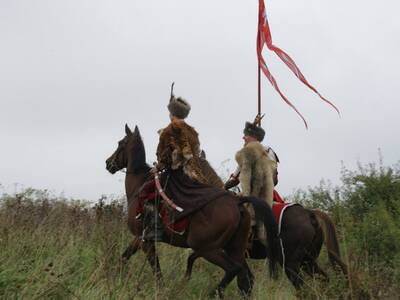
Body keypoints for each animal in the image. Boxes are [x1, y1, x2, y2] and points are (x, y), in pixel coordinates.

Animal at [106, 124, 282, 298]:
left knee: (234, 270)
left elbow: (156, 268)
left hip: (207, 248)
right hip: (234, 249)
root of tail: (238, 202)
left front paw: (162, 290)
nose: (108, 163)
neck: (138, 185)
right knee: (245, 279)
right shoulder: (140, 238)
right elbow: (125, 256)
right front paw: (113, 275)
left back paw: (212, 293)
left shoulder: (145, 241)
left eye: (120, 143)